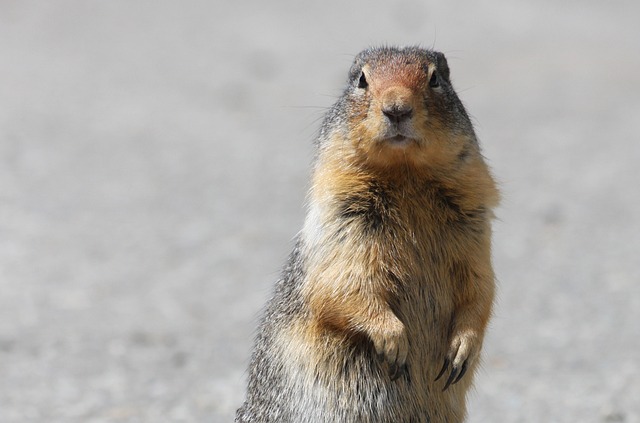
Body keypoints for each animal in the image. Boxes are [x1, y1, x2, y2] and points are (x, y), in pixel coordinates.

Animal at [235, 46, 500, 423]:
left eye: (435, 78)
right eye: (361, 79)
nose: (397, 108)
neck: (406, 176)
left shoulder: (475, 227)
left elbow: (479, 286)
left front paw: (463, 347)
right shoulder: (342, 222)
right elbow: (345, 282)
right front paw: (393, 340)